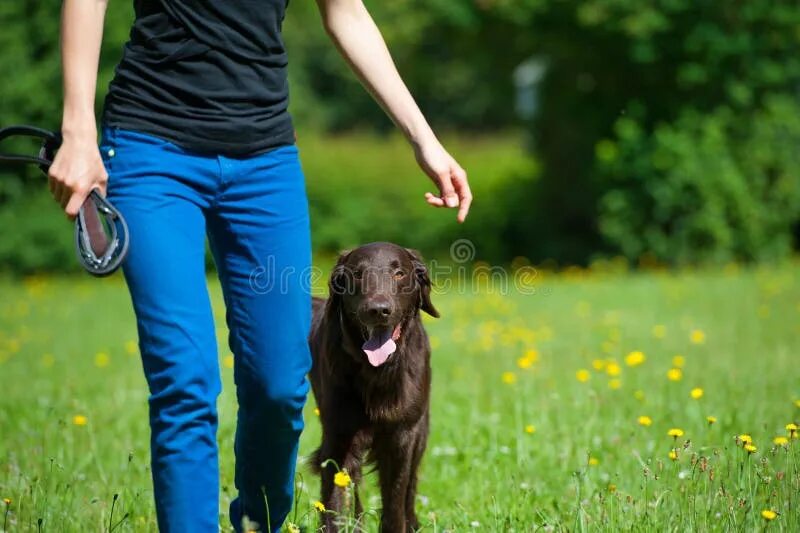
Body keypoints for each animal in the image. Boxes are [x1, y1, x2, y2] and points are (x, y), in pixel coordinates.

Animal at [310, 242, 440, 532]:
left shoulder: (402, 436)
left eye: (399, 273)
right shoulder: (338, 437)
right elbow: (334, 505)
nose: (378, 310)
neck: (376, 372)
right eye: (357, 274)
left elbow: (395, 503)